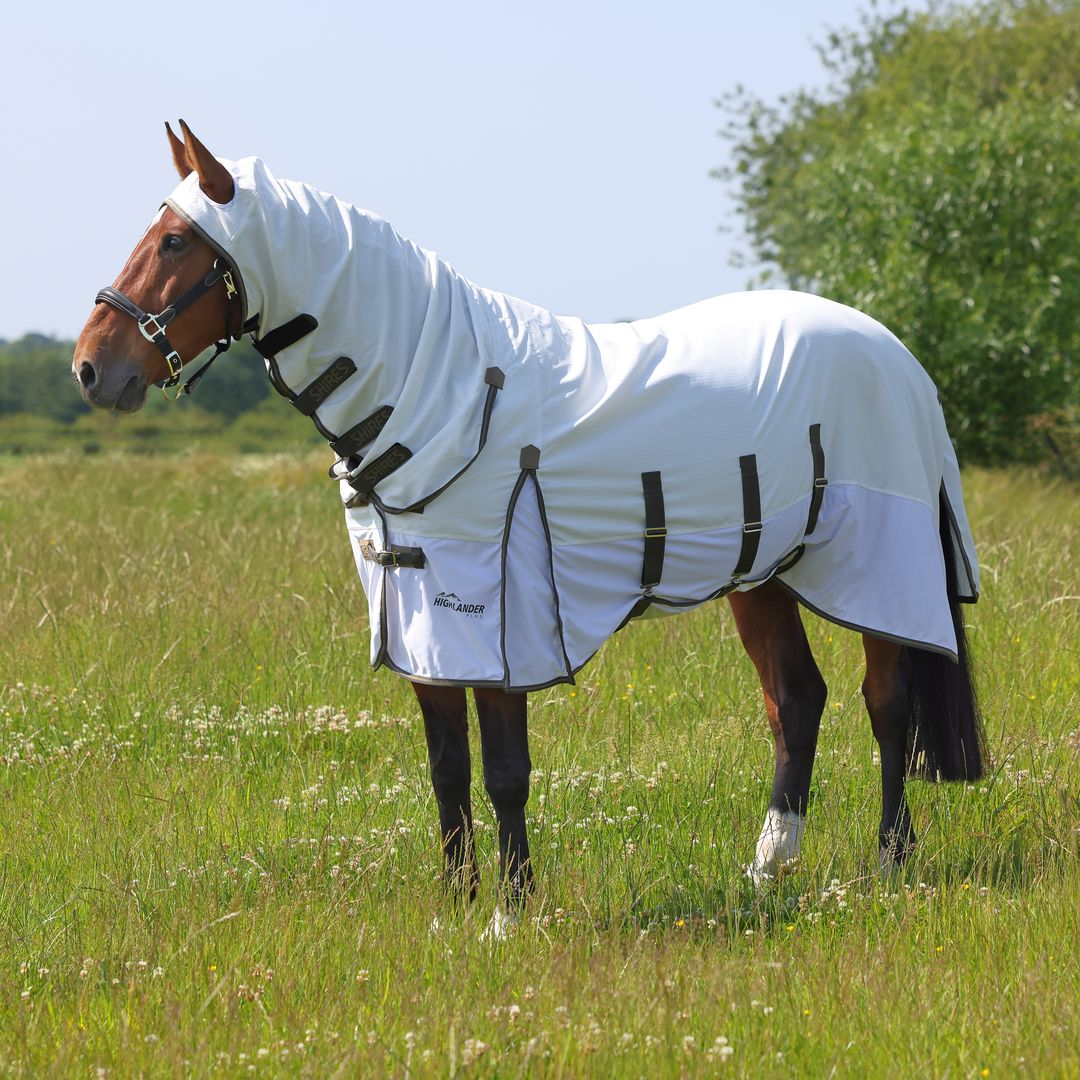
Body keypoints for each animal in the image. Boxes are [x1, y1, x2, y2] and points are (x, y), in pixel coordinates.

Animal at [74, 121, 985, 937]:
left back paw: (888, 863)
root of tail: (895, 353)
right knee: (796, 702)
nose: (92, 367)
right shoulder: (426, 630)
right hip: (759, 574)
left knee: (886, 706)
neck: (440, 391)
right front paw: (455, 907)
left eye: (175, 244)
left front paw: (509, 916)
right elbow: (447, 771)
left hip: (880, 569)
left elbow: (505, 773)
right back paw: (768, 870)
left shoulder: (501, 622)